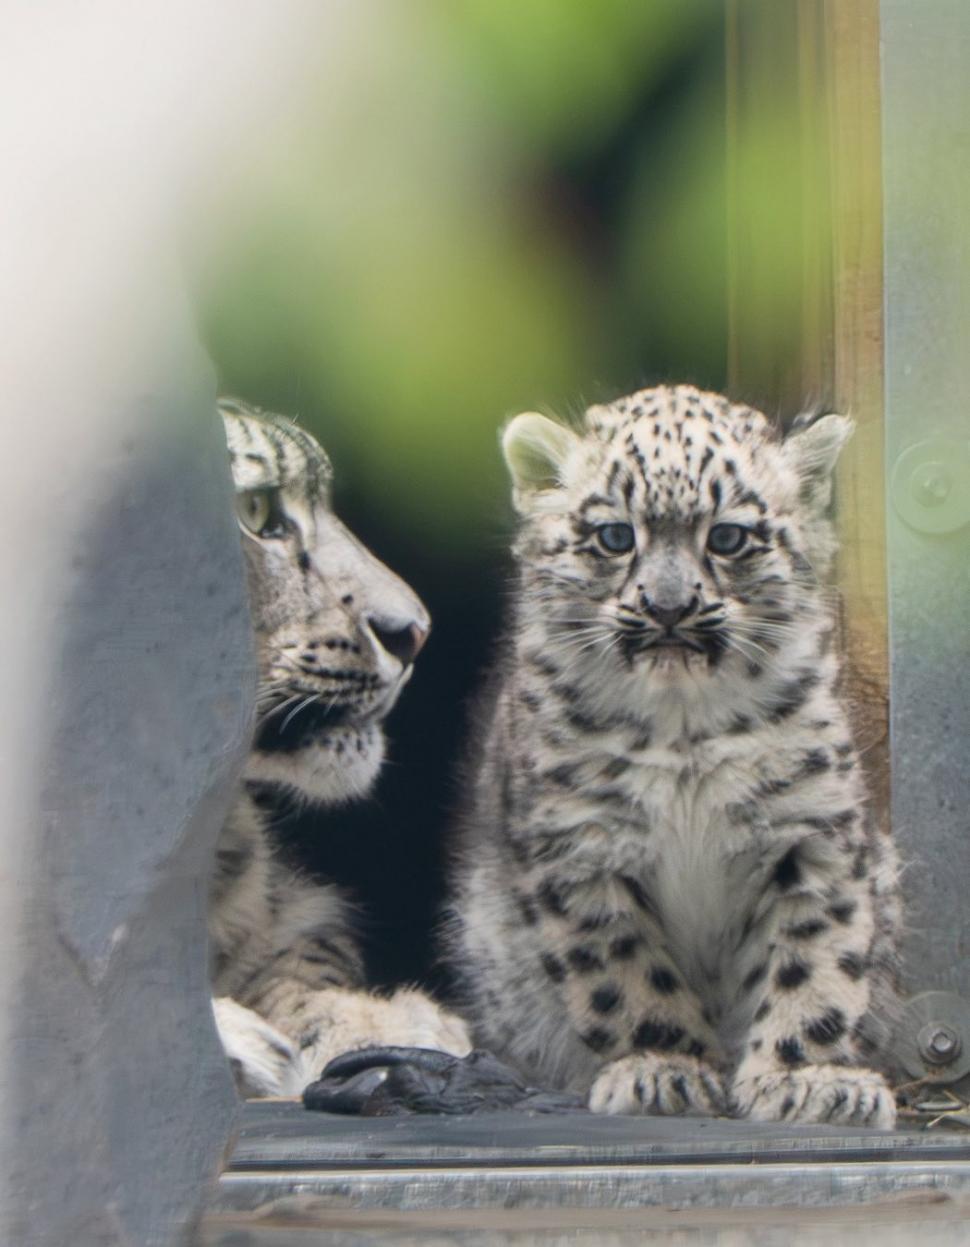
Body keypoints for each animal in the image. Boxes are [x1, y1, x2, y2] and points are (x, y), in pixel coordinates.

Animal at [448, 383, 900, 1128]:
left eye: (728, 536)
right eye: (614, 535)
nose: (667, 607)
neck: (683, 731)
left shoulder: (811, 835)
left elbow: (814, 959)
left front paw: (806, 1078)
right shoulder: (582, 847)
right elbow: (626, 972)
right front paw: (666, 1069)